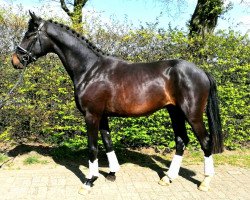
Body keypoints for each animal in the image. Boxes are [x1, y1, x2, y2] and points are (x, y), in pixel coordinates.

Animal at [11, 12, 223, 192]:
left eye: (30, 34)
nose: (15, 60)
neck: (90, 70)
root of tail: (201, 71)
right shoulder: (102, 116)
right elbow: (108, 143)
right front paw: (112, 173)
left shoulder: (92, 115)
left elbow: (93, 147)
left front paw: (89, 181)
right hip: (175, 112)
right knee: (181, 141)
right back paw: (168, 178)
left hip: (192, 114)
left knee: (205, 142)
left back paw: (205, 182)